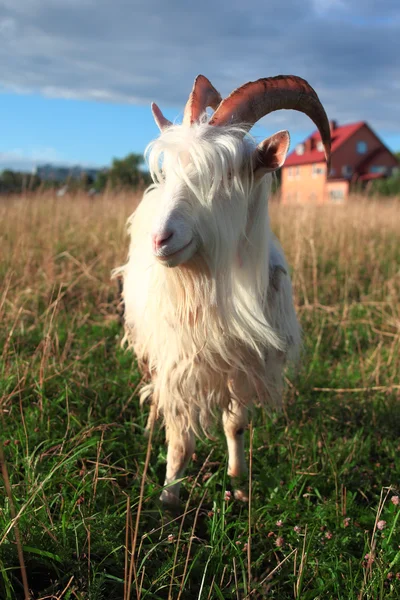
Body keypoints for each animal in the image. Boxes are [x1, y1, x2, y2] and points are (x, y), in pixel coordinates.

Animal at [116, 75, 332, 506]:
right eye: (166, 172)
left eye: (226, 176)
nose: (160, 239)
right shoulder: (181, 365)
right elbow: (180, 440)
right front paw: (168, 500)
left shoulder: (245, 365)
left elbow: (236, 424)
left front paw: (238, 482)